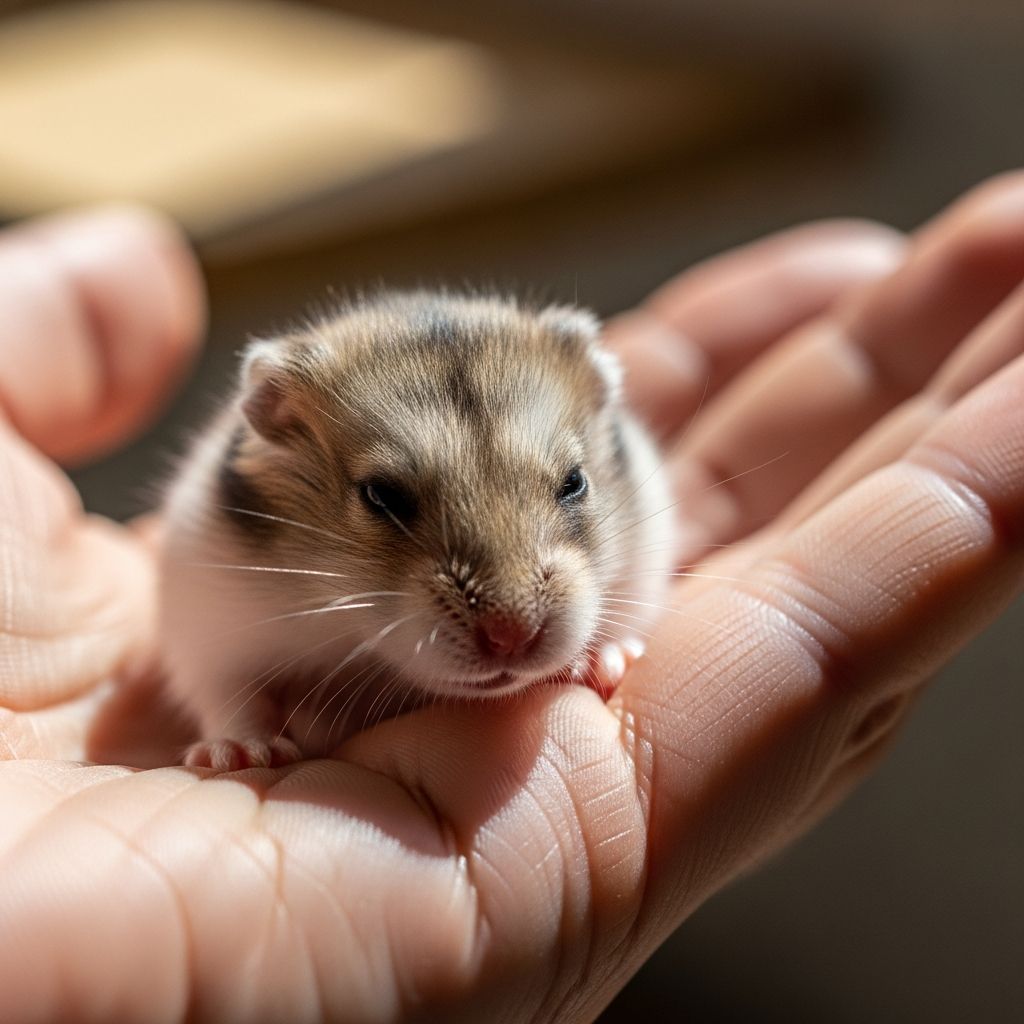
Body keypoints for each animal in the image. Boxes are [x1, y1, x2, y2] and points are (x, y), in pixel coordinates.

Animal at [160, 292, 675, 770]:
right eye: (381, 496)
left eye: (574, 481)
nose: (512, 638)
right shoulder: (207, 629)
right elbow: (231, 695)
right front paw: (245, 755)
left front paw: (603, 664)